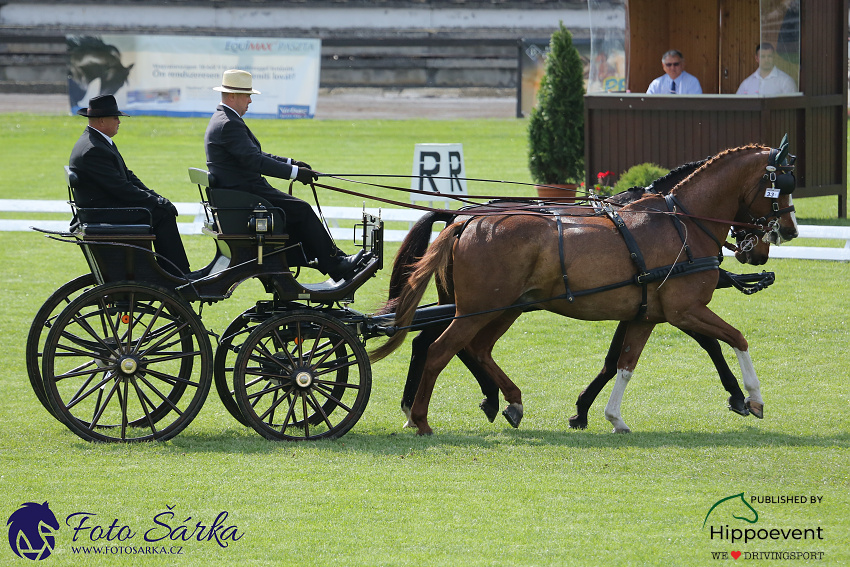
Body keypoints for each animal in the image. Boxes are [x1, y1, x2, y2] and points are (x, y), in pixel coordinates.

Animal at [372, 145, 796, 434]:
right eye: (783, 187)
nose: (787, 233)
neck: (681, 222)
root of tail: (463, 220)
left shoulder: (647, 315)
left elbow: (624, 364)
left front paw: (609, 415)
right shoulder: (684, 309)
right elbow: (733, 339)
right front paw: (750, 397)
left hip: (500, 308)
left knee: (471, 348)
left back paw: (505, 402)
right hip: (479, 308)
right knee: (439, 350)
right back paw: (421, 418)